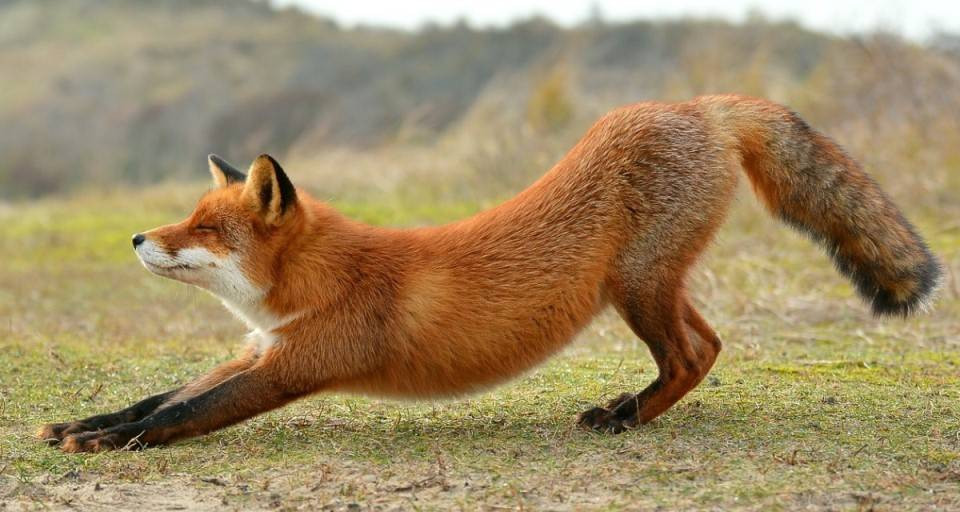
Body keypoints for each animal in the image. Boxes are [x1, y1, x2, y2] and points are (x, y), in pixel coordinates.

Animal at [37, 93, 936, 452]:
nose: (135, 237)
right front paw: (84, 424)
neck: (310, 287)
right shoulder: (259, 350)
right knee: (708, 345)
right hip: (653, 286)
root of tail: (697, 103)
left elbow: (182, 416)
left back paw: (623, 419)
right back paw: (627, 408)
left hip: (635, 288)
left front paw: (107, 444)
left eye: (206, 229)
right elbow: (158, 399)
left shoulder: (294, 364)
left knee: (692, 354)